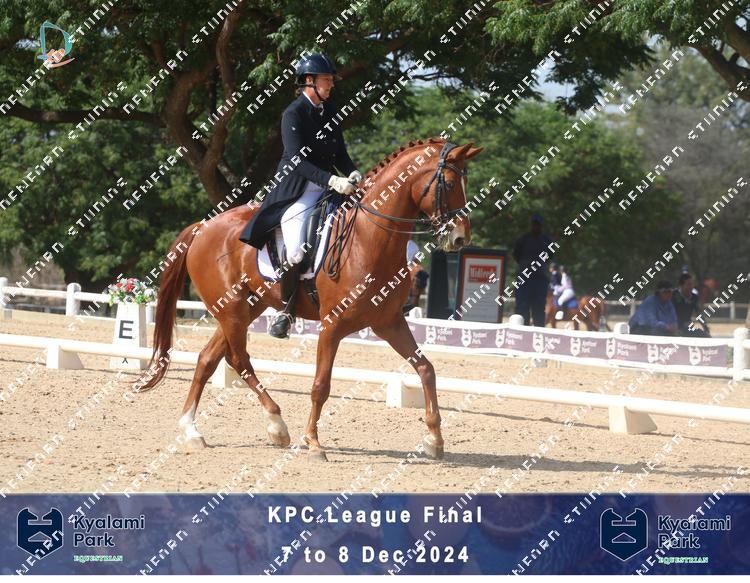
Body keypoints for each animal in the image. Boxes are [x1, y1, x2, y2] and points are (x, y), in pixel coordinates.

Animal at [136, 138, 483, 461]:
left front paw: (434, 439)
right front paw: (313, 443)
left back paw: (191, 430)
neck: (369, 238)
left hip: (247, 308)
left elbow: (426, 369)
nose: (460, 238)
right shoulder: (332, 326)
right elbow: (320, 385)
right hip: (232, 309)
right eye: (450, 184)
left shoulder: (389, 322)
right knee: (238, 359)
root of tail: (204, 226)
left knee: (209, 359)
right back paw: (277, 425)